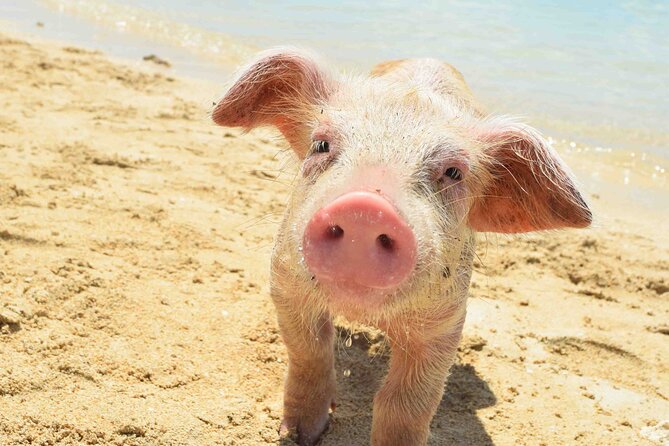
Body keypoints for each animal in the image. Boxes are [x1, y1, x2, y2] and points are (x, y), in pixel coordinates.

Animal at [212, 48, 591, 446]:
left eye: (453, 172)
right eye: (321, 144)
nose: (365, 208)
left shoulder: (445, 320)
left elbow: (409, 402)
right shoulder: (285, 280)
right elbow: (308, 354)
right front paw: (299, 435)